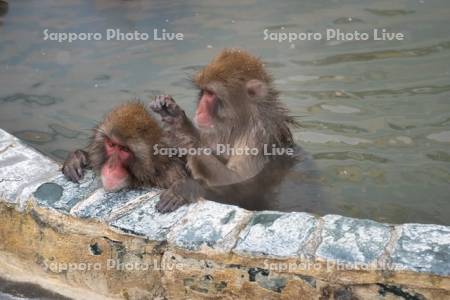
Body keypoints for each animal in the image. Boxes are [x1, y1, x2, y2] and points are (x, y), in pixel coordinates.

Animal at [151, 49, 298, 212]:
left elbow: (239, 181)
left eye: (210, 94)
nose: (199, 110)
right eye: (203, 91)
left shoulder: (258, 135)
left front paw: (183, 132)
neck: (239, 122)